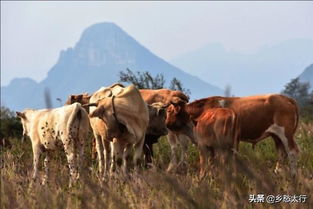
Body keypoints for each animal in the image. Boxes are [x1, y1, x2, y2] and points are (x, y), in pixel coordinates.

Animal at [167, 94, 298, 176]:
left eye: (169, 111)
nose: (167, 124)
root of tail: (285, 98)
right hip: (276, 136)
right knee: (281, 153)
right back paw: (277, 172)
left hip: (286, 134)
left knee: (292, 152)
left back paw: (293, 175)